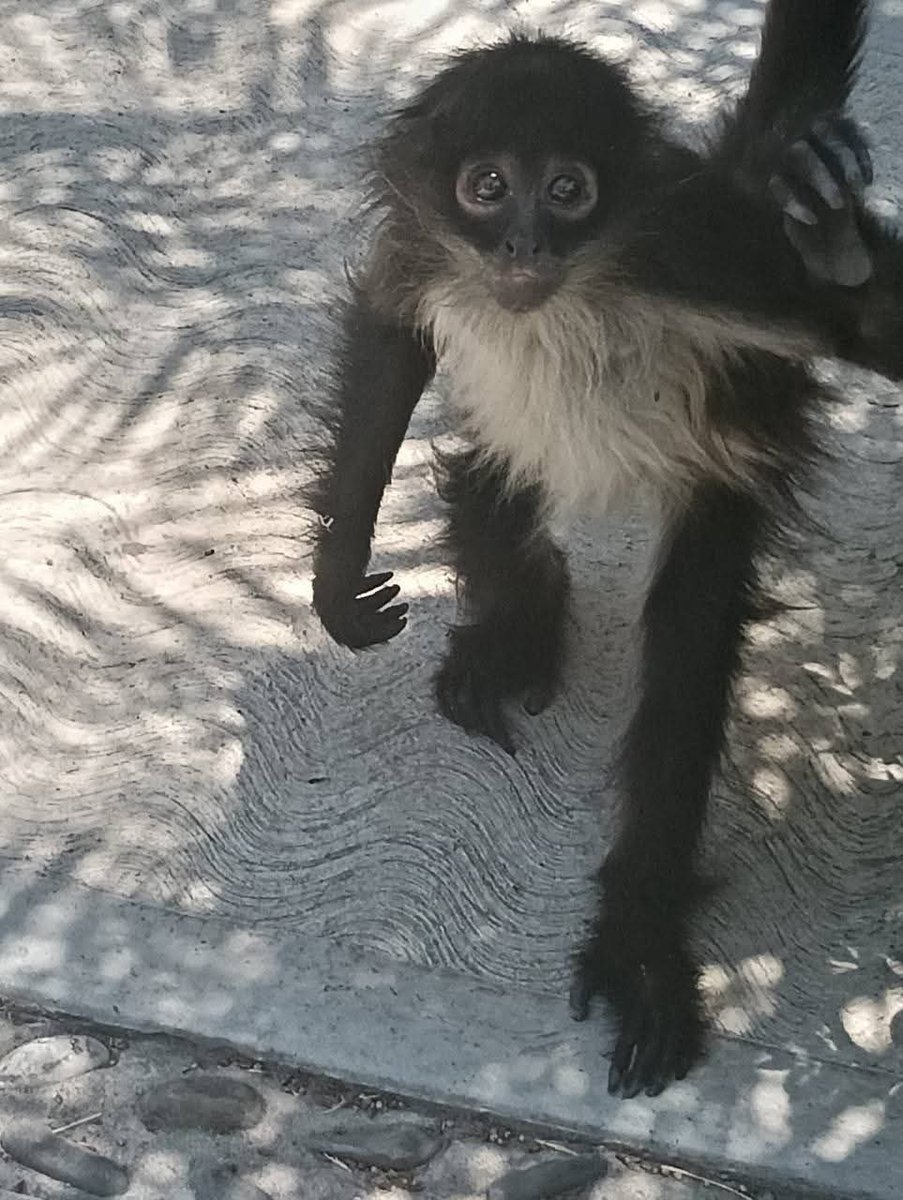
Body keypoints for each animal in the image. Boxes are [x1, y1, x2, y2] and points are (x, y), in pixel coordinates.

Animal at [308, 0, 903, 1100]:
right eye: (487, 187)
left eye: (568, 191)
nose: (526, 240)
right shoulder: (425, 239)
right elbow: (391, 328)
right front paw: (336, 578)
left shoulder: (692, 248)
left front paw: (837, 244)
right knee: (489, 476)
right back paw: (517, 633)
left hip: (727, 465)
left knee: (683, 650)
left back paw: (640, 945)